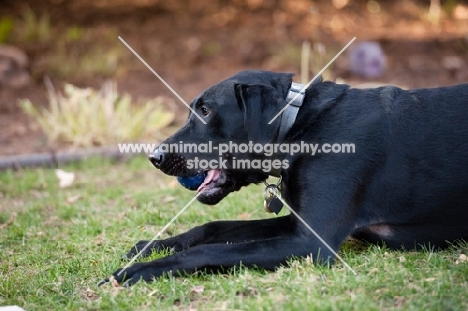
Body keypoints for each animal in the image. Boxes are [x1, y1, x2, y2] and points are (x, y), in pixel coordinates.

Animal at [102, 70, 468, 286]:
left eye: (205, 111)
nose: (154, 157)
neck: (298, 127)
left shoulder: (310, 243)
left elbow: (210, 250)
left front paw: (140, 270)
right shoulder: (296, 224)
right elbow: (213, 228)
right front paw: (150, 247)